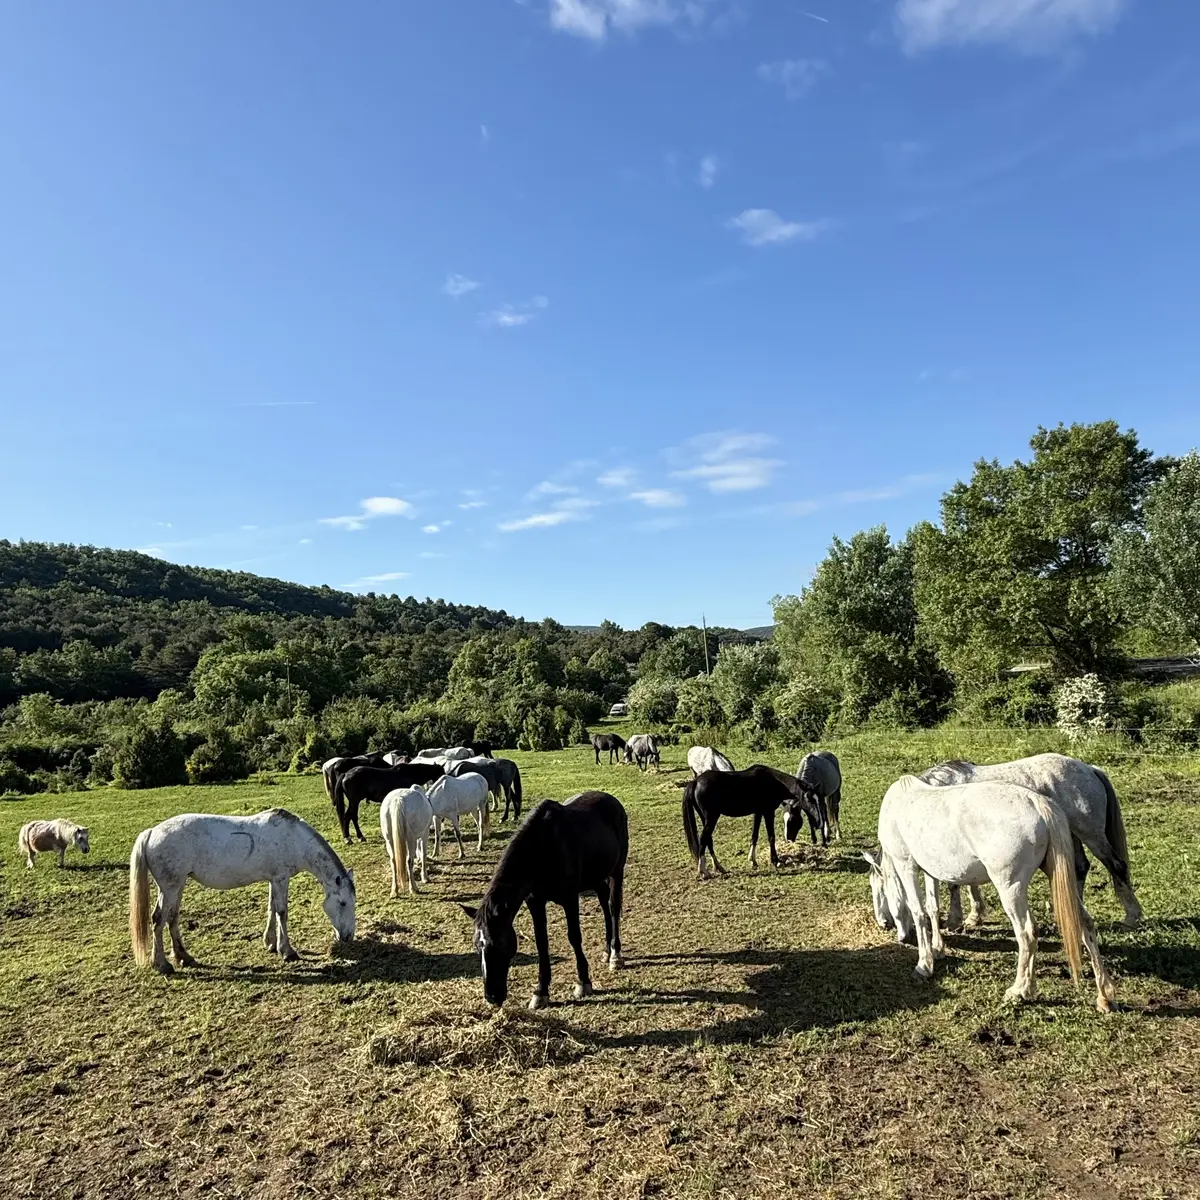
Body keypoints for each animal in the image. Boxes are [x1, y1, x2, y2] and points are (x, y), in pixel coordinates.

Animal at [129, 808, 355, 974]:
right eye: (343, 903)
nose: (348, 936)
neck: (293, 839)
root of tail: (151, 832)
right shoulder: (281, 878)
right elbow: (282, 912)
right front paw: (287, 951)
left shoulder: (274, 879)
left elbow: (271, 908)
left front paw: (270, 943)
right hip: (170, 887)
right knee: (158, 919)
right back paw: (162, 964)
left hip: (178, 885)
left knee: (172, 917)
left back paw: (184, 957)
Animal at [462, 791, 627, 1010]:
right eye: (476, 946)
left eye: (497, 944)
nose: (492, 996)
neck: (542, 848)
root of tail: (612, 800)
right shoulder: (535, 902)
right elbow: (541, 942)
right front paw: (540, 992)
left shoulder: (570, 898)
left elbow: (574, 936)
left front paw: (583, 982)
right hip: (596, 877)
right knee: (604, 904)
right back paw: (606, 951)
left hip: (617, 871)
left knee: (613, 907)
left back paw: (615, 955)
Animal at [682, 766, 824, 878]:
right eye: (809, 799)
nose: (818, 821)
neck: (773, 782)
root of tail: (695, 781)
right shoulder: (768, 812)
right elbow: (771, 837)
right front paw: (775, 860)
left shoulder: (758, 812)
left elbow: (754, 835)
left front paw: (753, 860)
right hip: (711, 818)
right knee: (703, 839)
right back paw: (703, 871)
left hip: (706, 818)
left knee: (708, 840)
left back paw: (719, 867)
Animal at [863, 776, 1117, 1012]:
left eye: (877, 890)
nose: (885, 924)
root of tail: (1038, 803)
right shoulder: (929, 870)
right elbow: (932, 908)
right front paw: (937, 949)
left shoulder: (906, 865)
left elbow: (918, 911)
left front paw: (924, 966)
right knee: (1085, 923)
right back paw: (1104, 996)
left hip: (1010, 887)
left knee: (1027, 933)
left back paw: (1020, 990)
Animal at [918, 753, 1141, 930]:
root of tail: (1090, 769)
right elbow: (968, 882)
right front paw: (974, 916)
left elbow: (955, 884)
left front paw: (954, 920)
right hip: (1071, 834)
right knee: (1079, 868)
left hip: (1091, 835)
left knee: (1117, 866)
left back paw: (1132, 918)